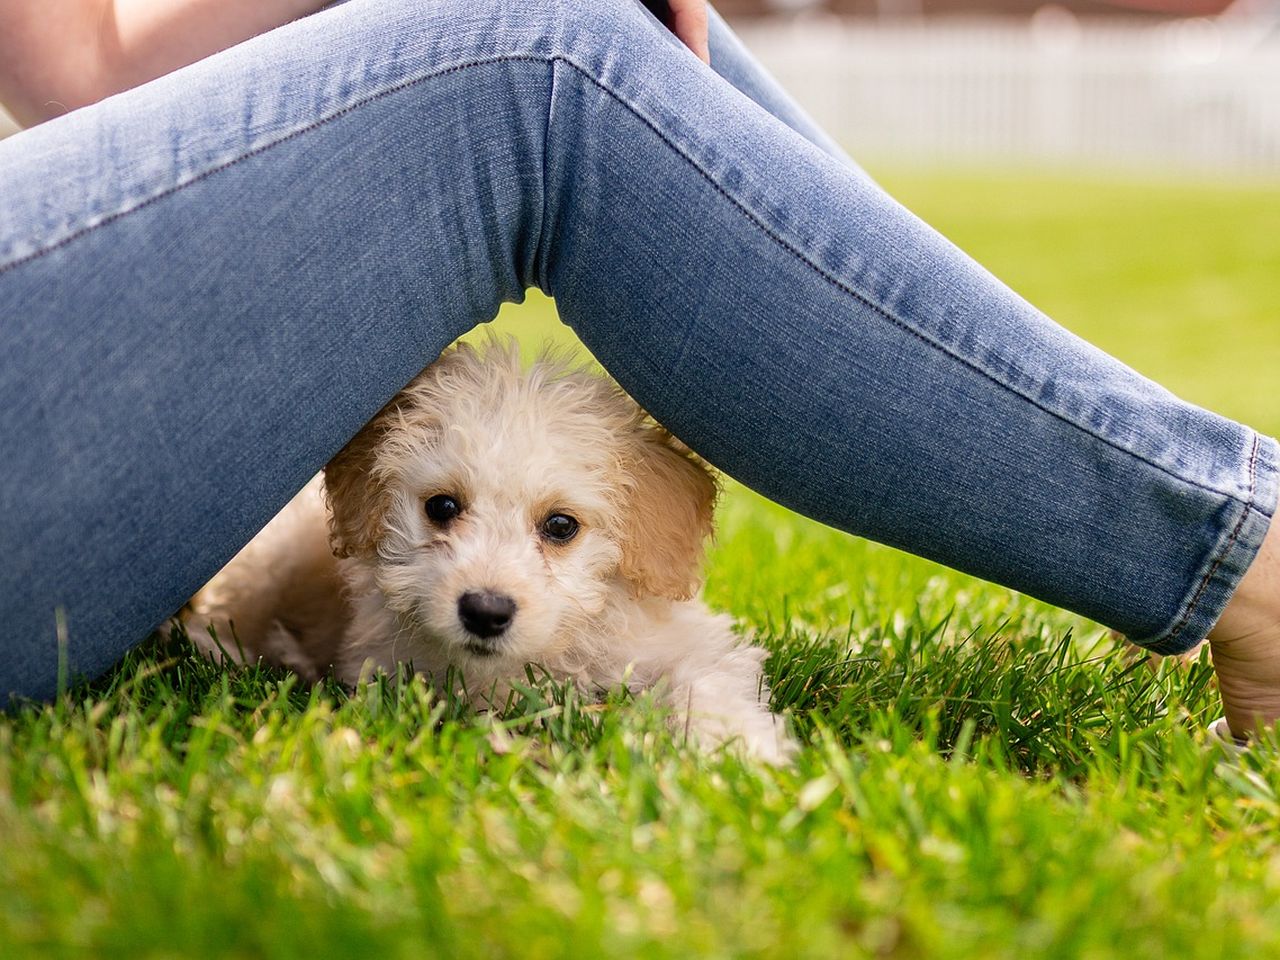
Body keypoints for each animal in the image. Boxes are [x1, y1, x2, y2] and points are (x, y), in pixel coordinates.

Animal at [186, 343, 788, 762]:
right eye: (442, 506)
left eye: (561, 525)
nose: (485, 612)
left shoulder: (687, 640)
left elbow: (708, 678)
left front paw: (740, 749)